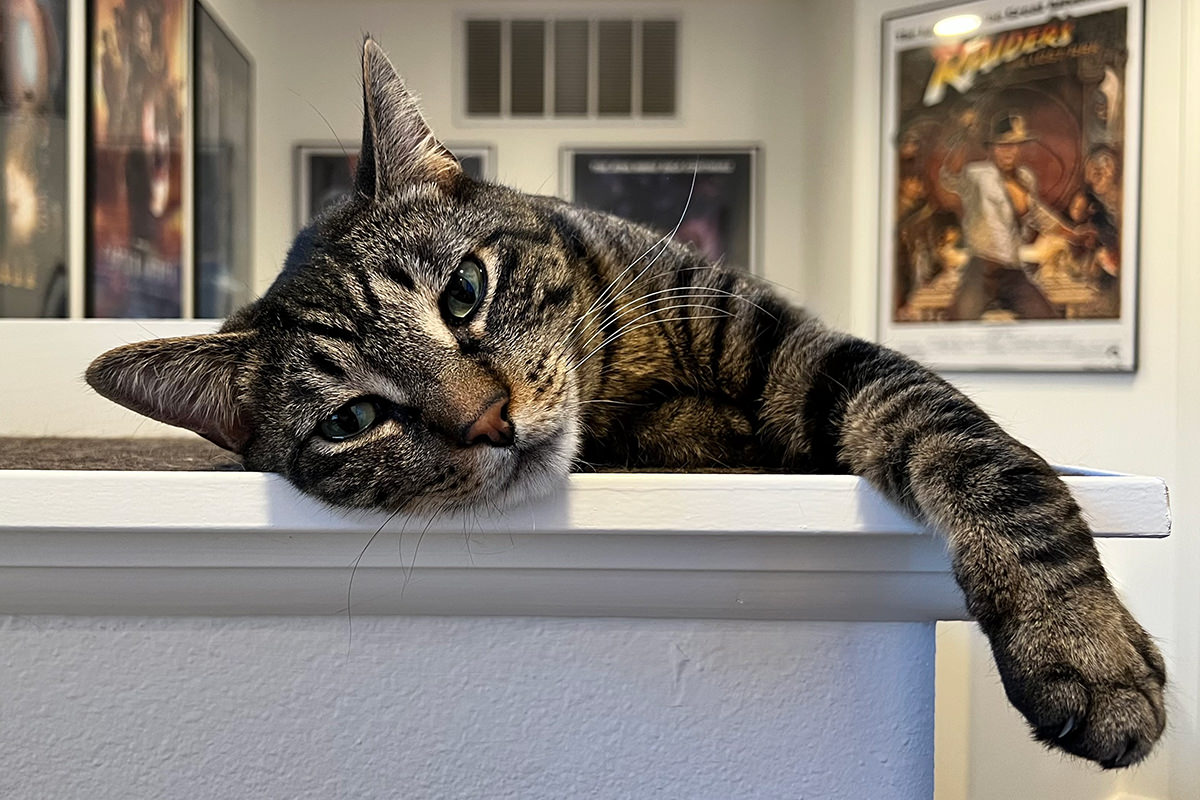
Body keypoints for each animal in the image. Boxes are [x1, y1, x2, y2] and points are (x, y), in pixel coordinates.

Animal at [91, 38, 1161, 767]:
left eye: (463, 293)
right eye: (352, 421)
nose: (489, 422)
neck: (621, 374)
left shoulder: (799, 348)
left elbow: (975, 449)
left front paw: (1087, 649)